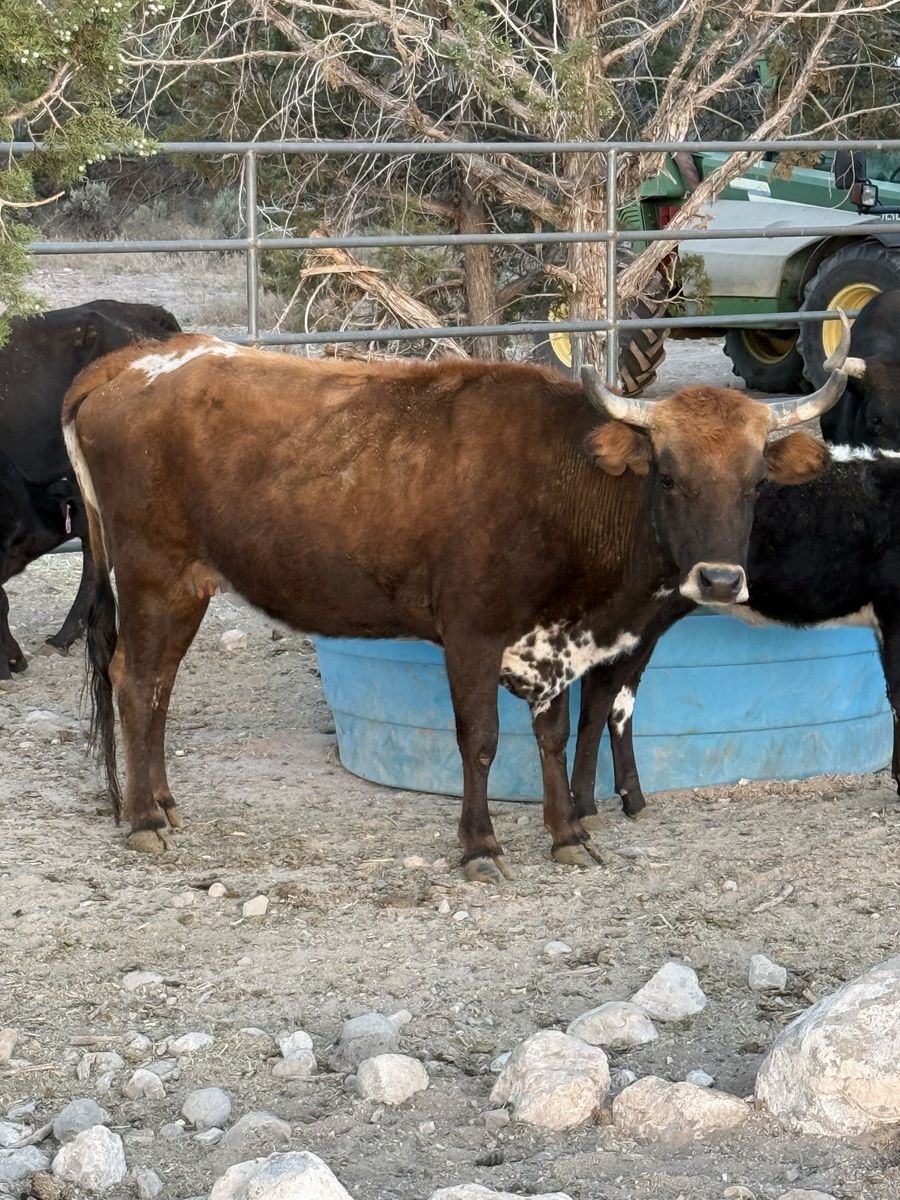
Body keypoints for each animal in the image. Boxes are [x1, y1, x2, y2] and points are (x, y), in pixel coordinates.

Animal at [61, 329, 849, 877]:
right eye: (669, 476)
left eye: (754, 482)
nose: (718, 580)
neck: (560, 484)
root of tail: (136, 361)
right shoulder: (471, 632)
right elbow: (482, 741)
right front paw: (481, 846)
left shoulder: (550, 644)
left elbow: (552, 736)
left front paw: (568, 834)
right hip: (154, 575)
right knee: (134, 681)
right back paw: (143, 819)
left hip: (188, 587)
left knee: (158, 687)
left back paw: (162, 802)